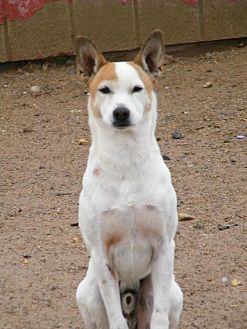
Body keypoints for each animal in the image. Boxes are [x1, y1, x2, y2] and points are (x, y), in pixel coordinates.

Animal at [76, 30, 182, 328]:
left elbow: (159, 317)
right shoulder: (101, 256)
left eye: (136, 88)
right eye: (105, 90)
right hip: (87, 293)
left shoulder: (164, 246)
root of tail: (131, 295)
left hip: (172, 291)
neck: (125, 159)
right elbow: (115, 317)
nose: (121, 112)